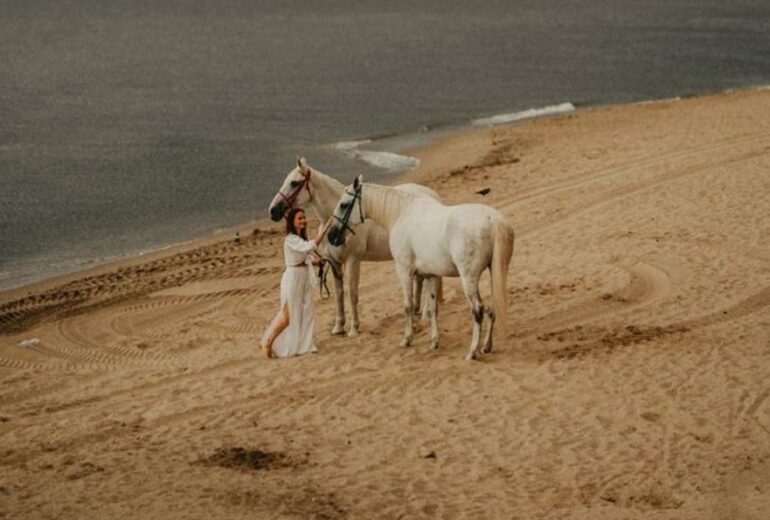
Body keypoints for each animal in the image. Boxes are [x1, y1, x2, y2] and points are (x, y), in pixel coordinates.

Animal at [268, 158, 441, 337]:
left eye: (294, 183)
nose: (273, 210)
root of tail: (432, 196)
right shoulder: (334, 262)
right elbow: (339, 294)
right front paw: (338, 326)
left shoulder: (353, 260)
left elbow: (352, 293)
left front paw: (354, 328)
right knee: (421, 279)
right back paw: (418, 311)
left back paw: (425, 315)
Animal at [328, 176, 514, 360]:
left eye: (344, 204)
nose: (331, 236)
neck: (401, 214)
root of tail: (493, 220)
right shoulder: (431, 275)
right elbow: (432, 309)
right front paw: (434, 342)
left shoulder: (404, 271)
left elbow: (408, 305)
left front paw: (407, 339)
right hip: (493, 273)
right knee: (492, 309)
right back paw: (486, 346)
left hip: (468, 278)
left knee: (478, 310)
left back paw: (472, 351)